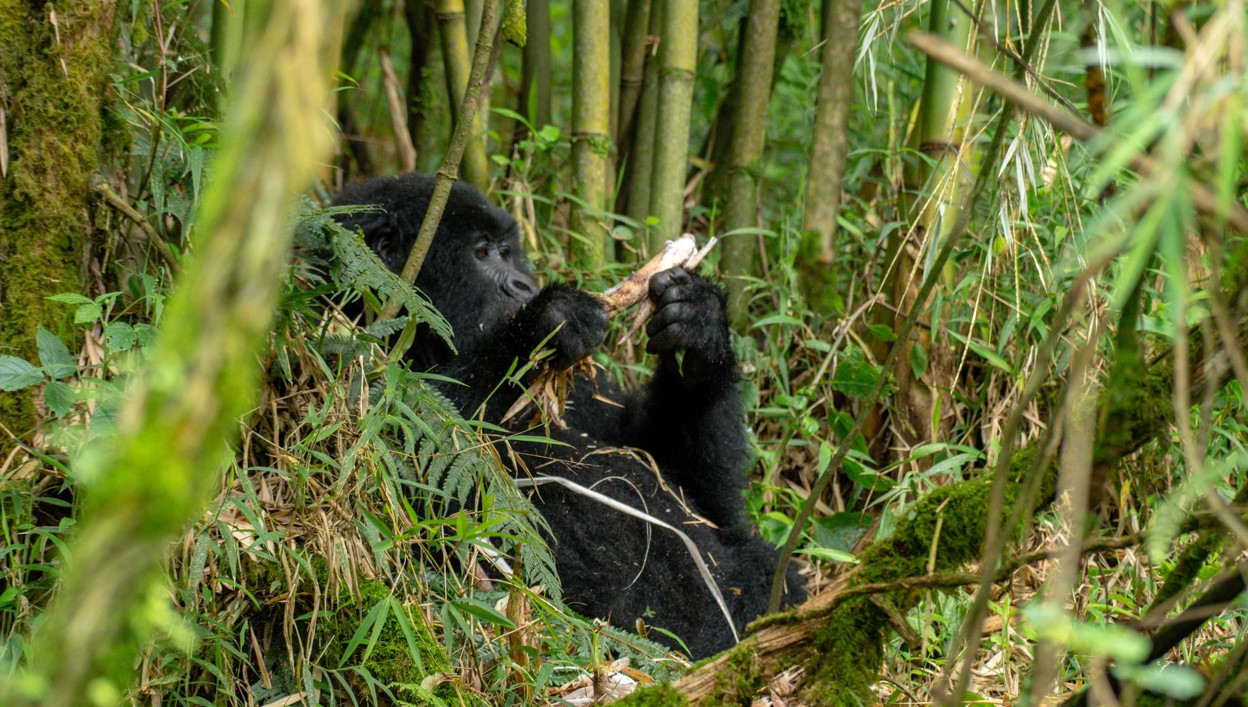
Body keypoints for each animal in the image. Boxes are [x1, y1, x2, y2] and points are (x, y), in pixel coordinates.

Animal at [331, 173, 803, 658]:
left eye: (507, 251)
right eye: (480, 254)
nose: (523, 284)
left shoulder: (589, 392)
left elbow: (702, 496)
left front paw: (700, 328)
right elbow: (416, 449)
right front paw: (543, 322)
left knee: (769, 569)